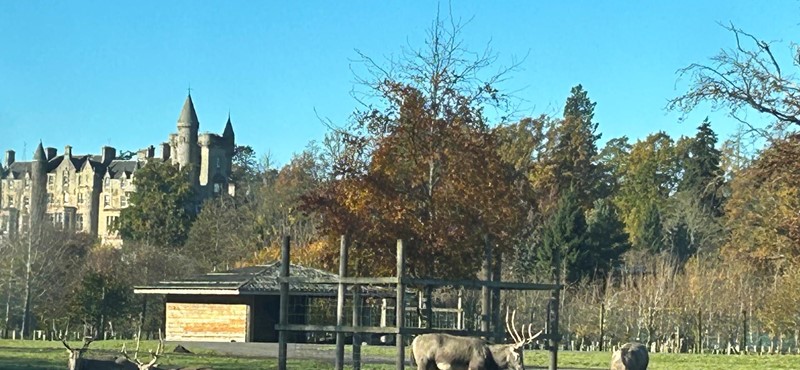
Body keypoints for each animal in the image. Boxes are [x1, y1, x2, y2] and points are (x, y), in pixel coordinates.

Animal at [412, 310, 544, 370]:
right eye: (517, 355)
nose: (521, 368)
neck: (492, 362)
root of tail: (414, 341)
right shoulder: (474, 366)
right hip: (423, 361)